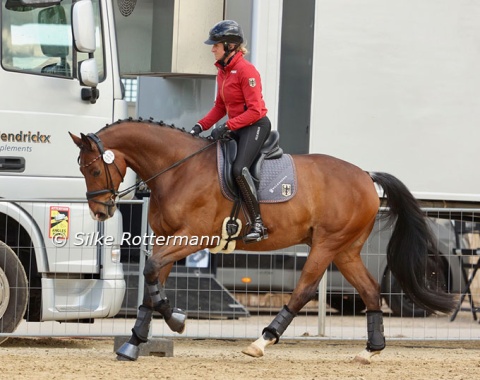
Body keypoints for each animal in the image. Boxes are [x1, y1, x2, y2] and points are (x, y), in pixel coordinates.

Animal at [69, 119, 456, 362]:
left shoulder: (193, 238)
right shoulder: (167, 238)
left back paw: (261, 341)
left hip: (327, 245)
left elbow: (150, 271)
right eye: (82, 169)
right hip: (345, 250)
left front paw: (176, 319)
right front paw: (134, 343)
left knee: (303, 290)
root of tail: (365, 175)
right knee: (371, 290)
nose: (101, 212)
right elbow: (151, 283)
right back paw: (370, 349)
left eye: (93, 168)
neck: (178, 169)